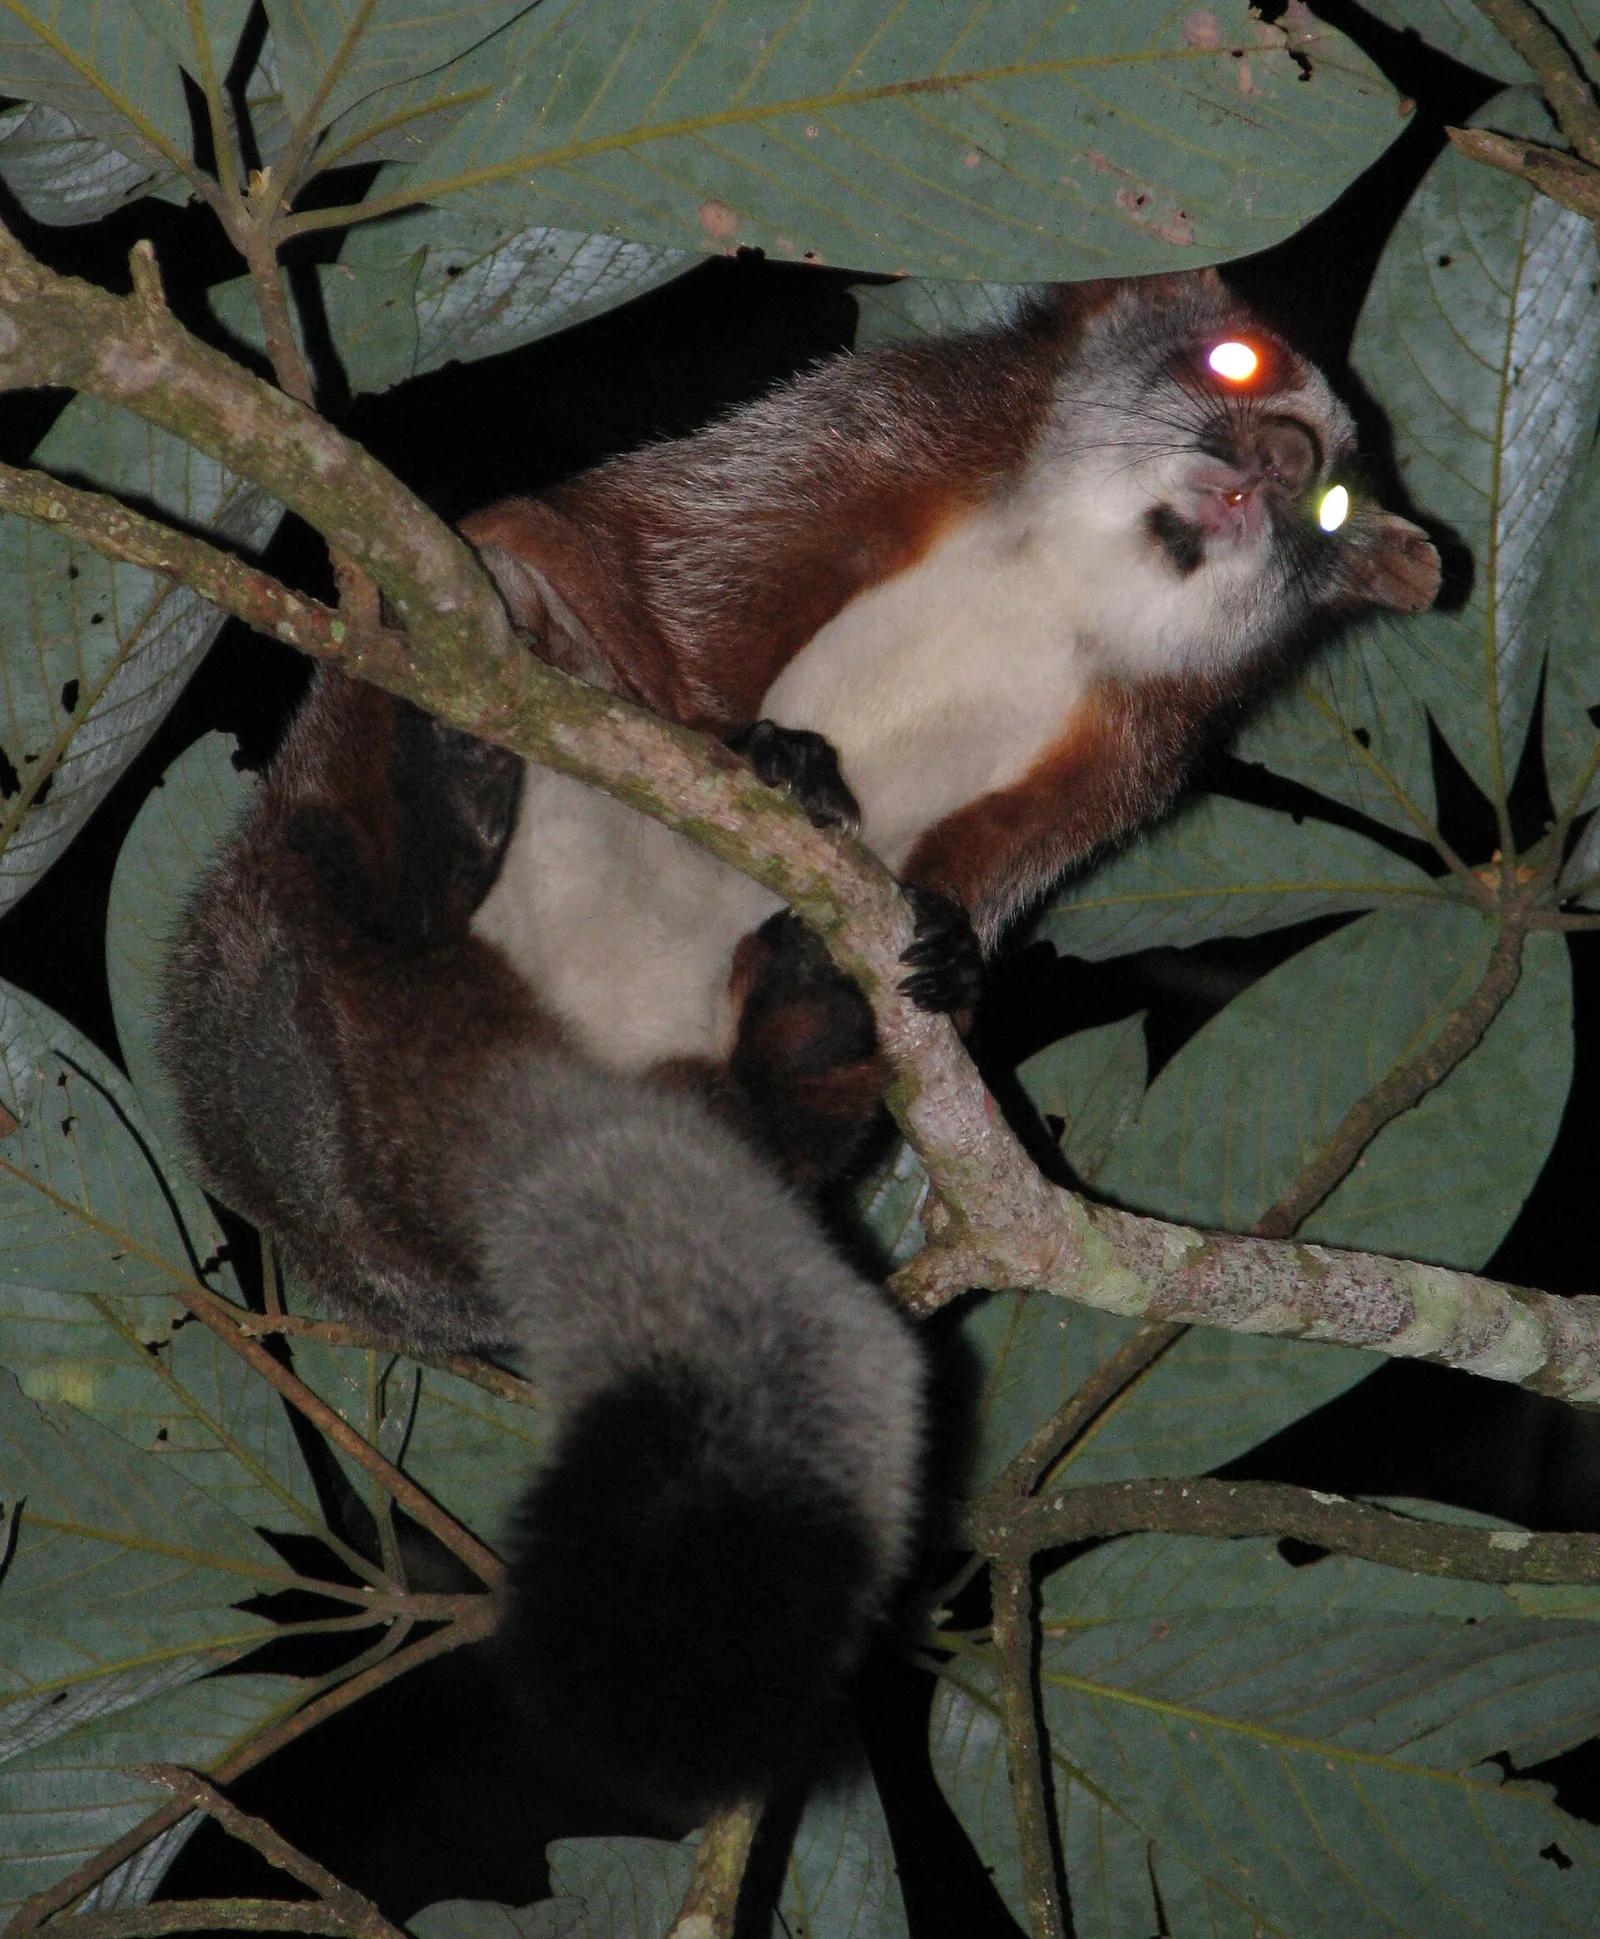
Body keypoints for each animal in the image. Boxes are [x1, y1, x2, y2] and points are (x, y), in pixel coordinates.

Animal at [162, 268, 1439, 1820]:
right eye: (1238, 367)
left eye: (1329, 498)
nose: (1274, 464)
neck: (1078, 570)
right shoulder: (891, 427)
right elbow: (650, 540)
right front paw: (748, 744)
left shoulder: (1143, 733)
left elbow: (1020, 856)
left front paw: (945, 944)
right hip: (249, 963)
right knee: (455, 614)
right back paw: (428, 815)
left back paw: (796, 1041)